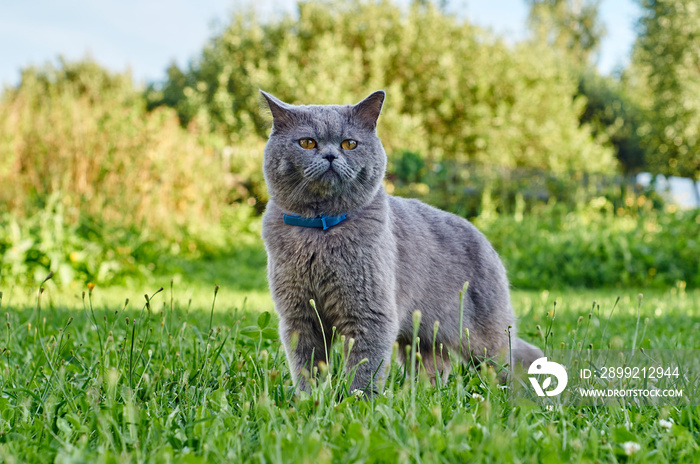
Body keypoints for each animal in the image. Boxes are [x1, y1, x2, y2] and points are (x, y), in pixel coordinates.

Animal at [262, 90, 540, 396]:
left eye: (350, 144)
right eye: (307, 142)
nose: (331, 155)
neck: (320, 231)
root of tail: (485, 239)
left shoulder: (370, 312)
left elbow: (364, 368)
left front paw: (357, 400)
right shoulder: (299, 316)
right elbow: (306, 366)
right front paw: (308, 398)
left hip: (484, 337)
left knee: (506, 363)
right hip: (425, 336)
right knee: (434, 365)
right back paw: (422, 393)